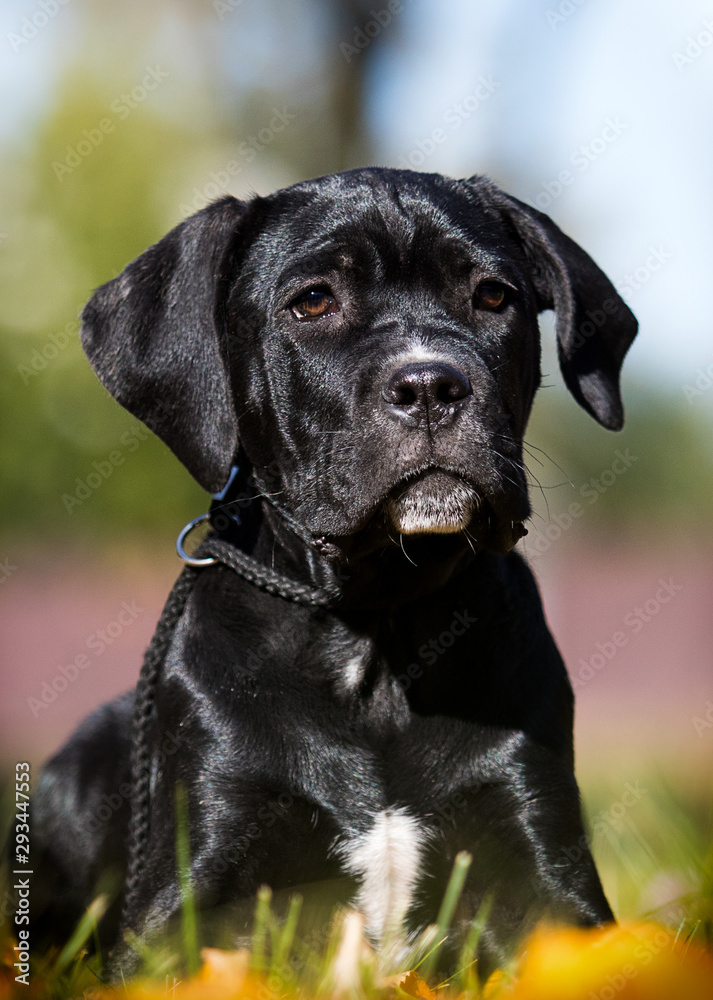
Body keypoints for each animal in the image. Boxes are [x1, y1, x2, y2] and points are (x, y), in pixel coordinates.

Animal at [30, 170, 636, 976]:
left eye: (492, 297)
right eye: (313, 301)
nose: (430, 385)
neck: (378, 624)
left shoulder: (546, 872)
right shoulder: (185, 890)